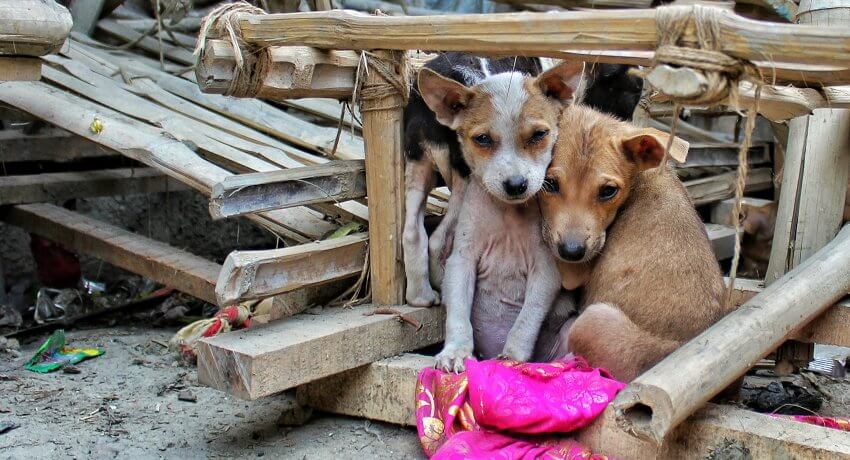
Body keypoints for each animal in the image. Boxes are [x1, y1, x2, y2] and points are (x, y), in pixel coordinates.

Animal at [540, 104, 724, 380]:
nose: (572, 252)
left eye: (608, 191)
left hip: (592, 319)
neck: (643, 177)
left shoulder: (574, 271)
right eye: (549, 183)